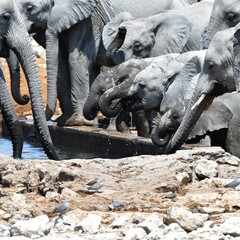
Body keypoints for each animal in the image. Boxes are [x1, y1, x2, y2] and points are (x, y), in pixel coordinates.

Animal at [7, 0, 202, 127]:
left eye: (30, 8)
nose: (25, 97)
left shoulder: (90, 16)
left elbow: (78, 57)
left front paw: (78, 123)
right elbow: (61, 62)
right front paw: (67, 121)